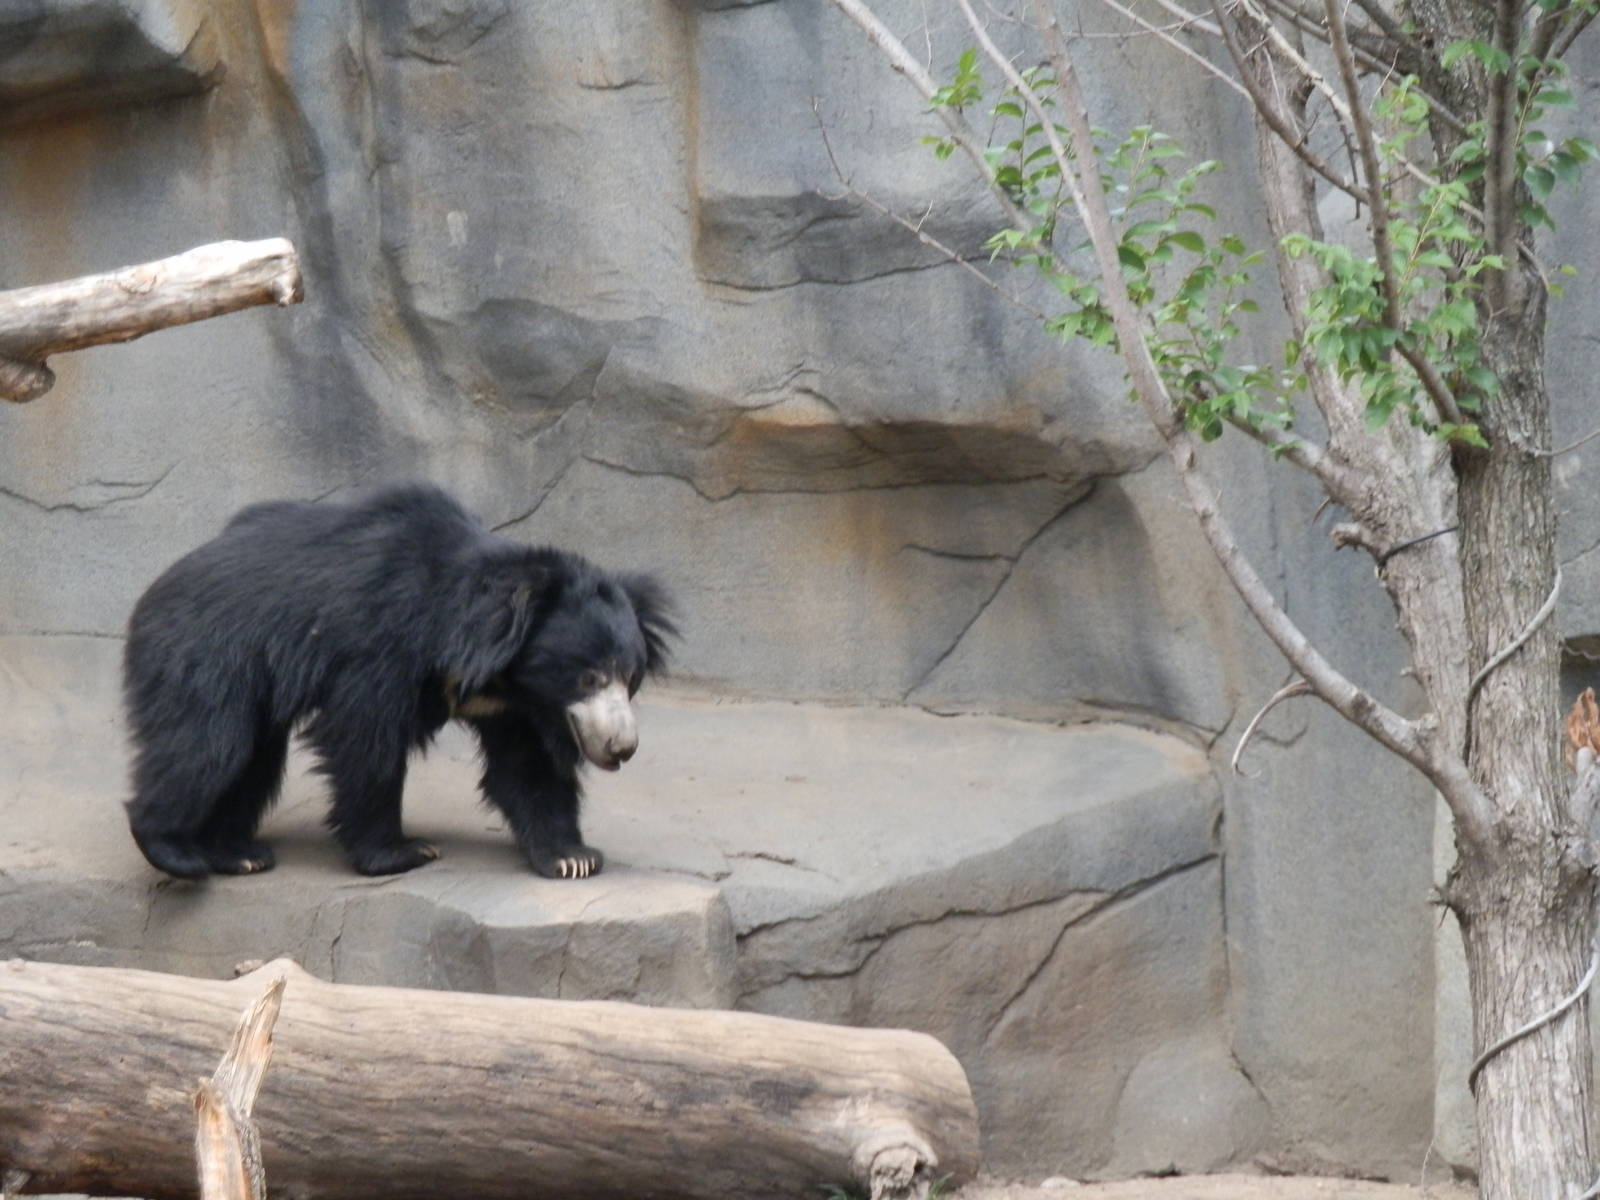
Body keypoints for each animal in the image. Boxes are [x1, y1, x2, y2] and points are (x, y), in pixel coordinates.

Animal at [121, 482, 673, 882]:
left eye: (629, 678)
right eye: (589, 676)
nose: (623, 747)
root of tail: (156, 588)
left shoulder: (513, 704)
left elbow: (527, 766)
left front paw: (572, 856)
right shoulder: (381, 642)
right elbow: (364, 737)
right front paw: (401, 852)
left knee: (252, 760)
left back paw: (237, 853)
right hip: (208, 654)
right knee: (208, 746)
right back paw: (174, 848)